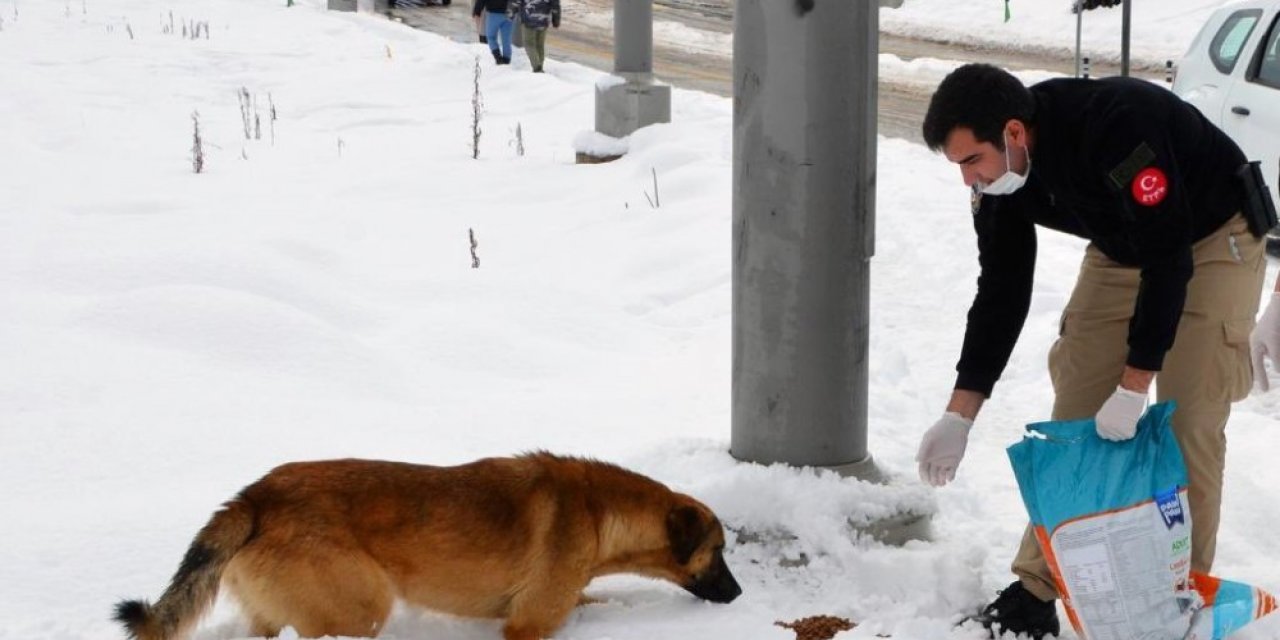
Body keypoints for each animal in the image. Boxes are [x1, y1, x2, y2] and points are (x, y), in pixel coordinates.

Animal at [119, 453, 747, 640]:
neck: (599, 514)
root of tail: (253, 497)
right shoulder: (529, 624)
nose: (741, 595)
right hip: (359, 612)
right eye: (719, 550)